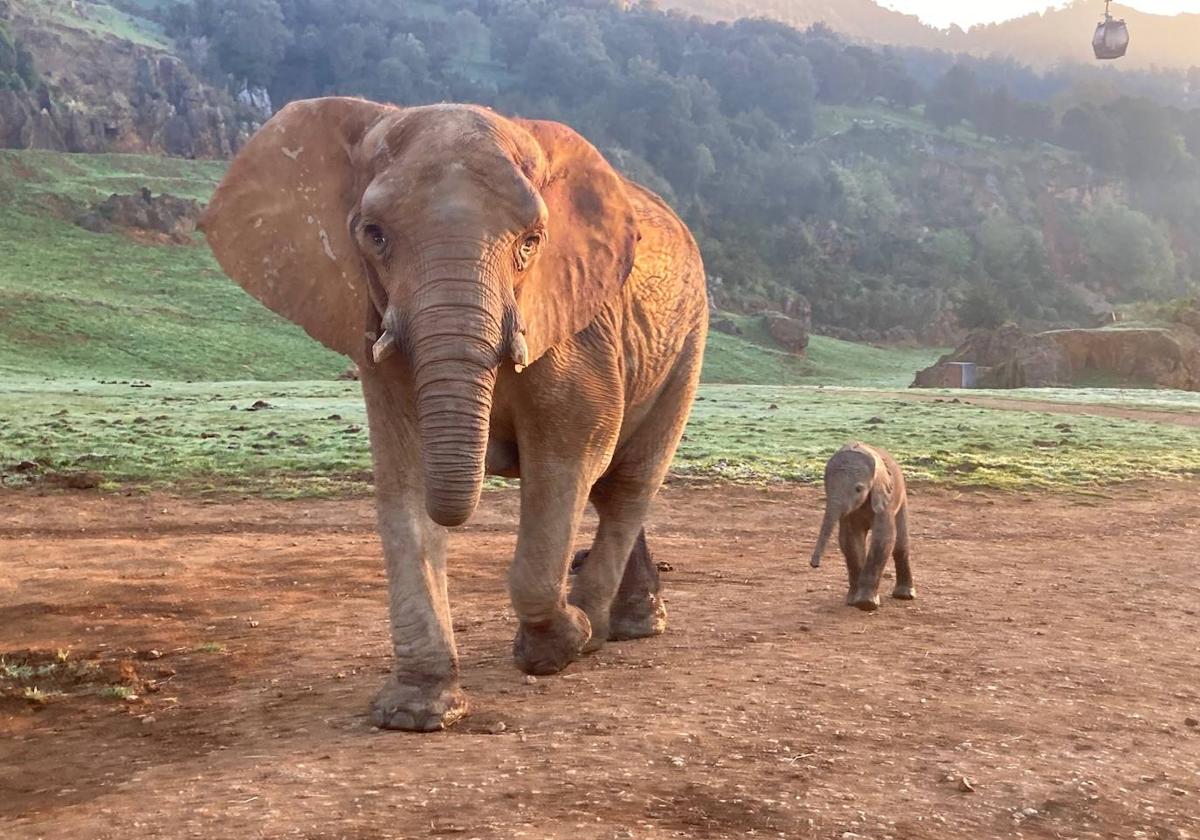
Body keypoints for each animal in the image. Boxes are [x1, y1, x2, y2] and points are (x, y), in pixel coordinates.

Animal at [201, 96, 705, 729]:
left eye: (531, 242)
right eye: (374, 235)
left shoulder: (576, 328)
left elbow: (569, 457)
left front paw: (558, 645)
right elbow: (404, 478)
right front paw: (416, 713)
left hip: (688, 340)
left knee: (626, 484)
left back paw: (602, 631)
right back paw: (618, 624)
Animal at [811, 444, 912, 614]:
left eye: (858, 489)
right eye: (827, 488)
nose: (814, 565)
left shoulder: (885, 498)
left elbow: (883, 537)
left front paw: (866, 604)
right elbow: (850, 540)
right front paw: (854, 602)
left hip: (902, 496)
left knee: (900, 544)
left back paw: (905, 595)